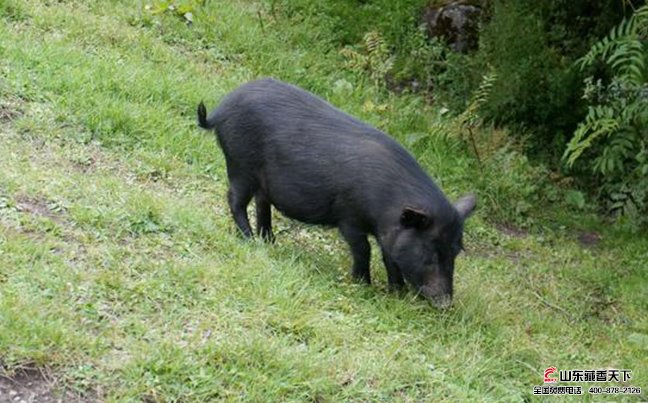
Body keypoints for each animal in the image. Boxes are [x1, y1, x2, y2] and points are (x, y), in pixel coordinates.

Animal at [195, 79, 474, 310]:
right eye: (430, 253)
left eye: (455, 252)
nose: (445, 304)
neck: (384, 207)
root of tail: (220, 110)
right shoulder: (349, 217)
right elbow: (363, 249)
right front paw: (363, 284)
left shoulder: (389, 233)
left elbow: (389, 258)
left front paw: (397, 293)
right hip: (240, 165)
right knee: (234, 200)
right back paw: (249, 239)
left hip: (260, 180)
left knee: (262, 204)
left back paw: (270, 242)